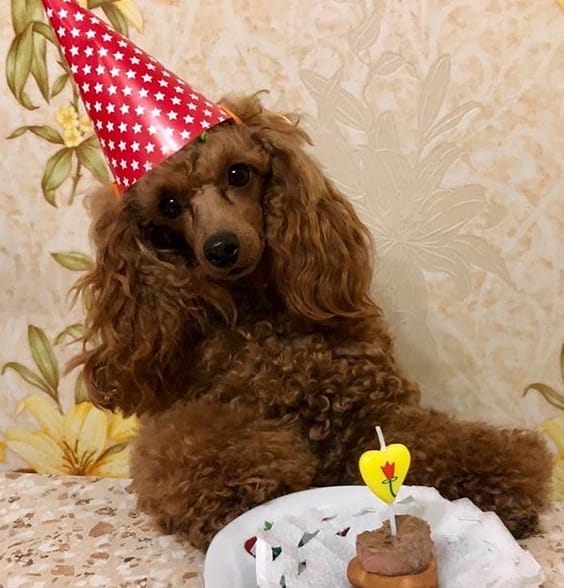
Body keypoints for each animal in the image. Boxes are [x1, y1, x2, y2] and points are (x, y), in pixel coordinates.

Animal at [74, 94, 552, 551]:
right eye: (169, 205)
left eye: (239, 173)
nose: (222, 248)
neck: (263, 319)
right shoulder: (191, 417)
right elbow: (196, 448)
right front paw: (246, 497)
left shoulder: (371, 414)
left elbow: (440, 441)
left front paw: (503, 483)